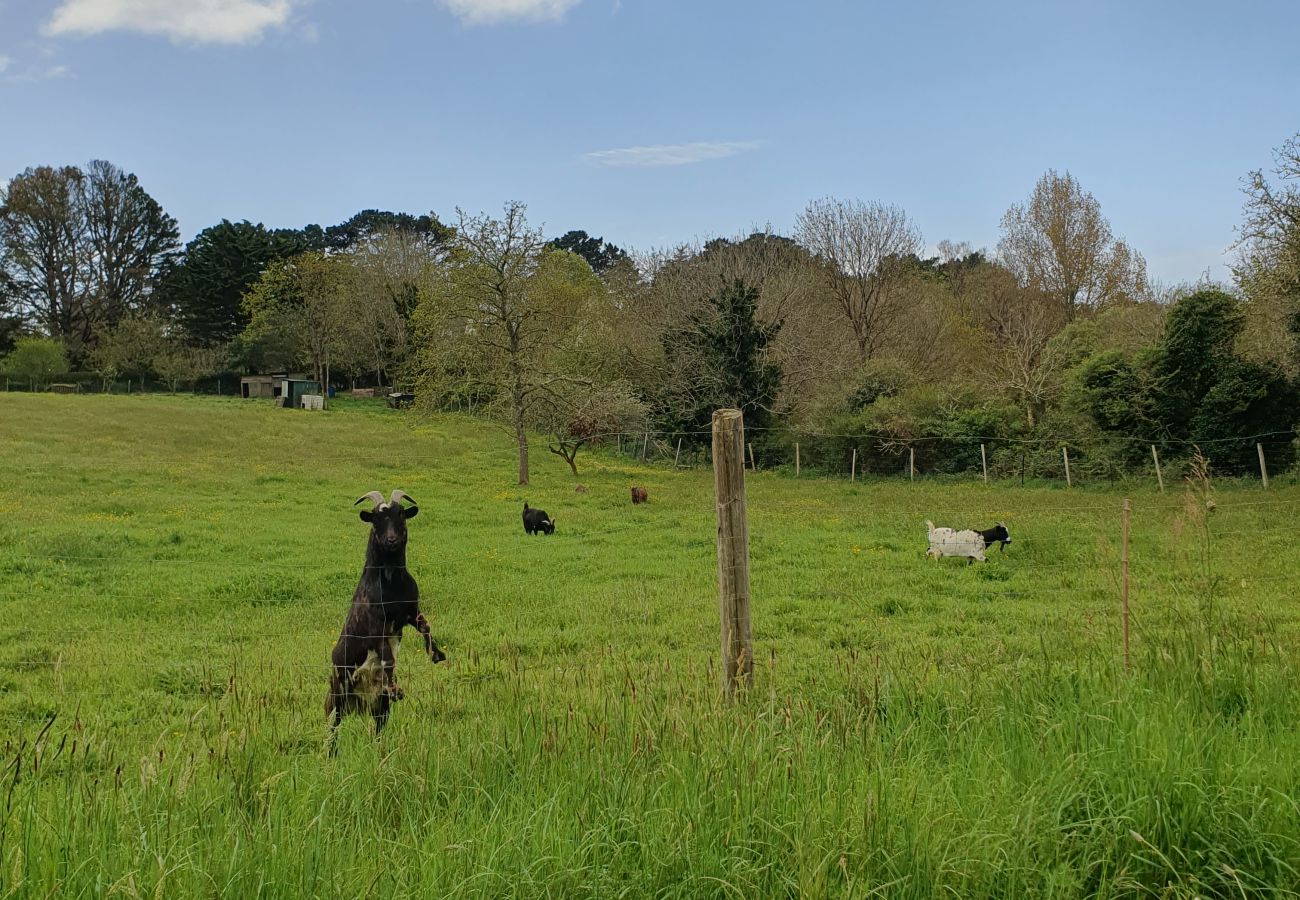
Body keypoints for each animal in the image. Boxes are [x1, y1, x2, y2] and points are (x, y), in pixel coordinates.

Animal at [325, 489, 447, 754]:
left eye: (401, 514)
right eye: (376, 518)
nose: (391, 540)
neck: (391, 584)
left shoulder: (410, 611)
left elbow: (426, 626)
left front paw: (436, 654)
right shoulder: (376, 626)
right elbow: (388, 658)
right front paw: (395, 689)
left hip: (377, 705)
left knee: (378, 727)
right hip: (336, 697)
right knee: (332, 727)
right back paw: (331, 754)